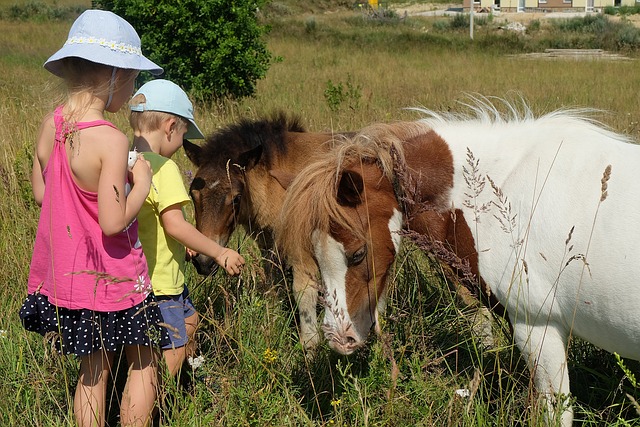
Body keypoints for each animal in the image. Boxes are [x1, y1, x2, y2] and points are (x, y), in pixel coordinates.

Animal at [278, 99, 640, 424]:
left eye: (357, 253)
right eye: (316, 256)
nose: (339, 339)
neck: (504, 189)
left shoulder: (538, 326)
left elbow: (556, 411)